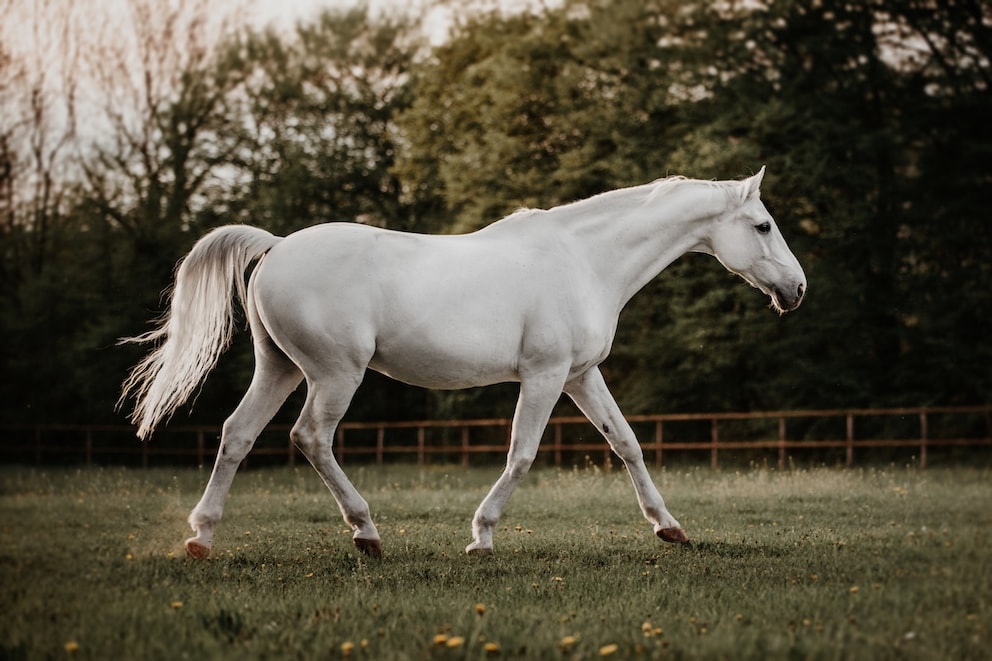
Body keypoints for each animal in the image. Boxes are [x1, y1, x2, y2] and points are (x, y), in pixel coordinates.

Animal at [120, 167, 806, 559]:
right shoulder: (545, 376)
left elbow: (628, 444)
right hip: (335, 374)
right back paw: (366, 533)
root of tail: (277, 245)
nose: (797, 290)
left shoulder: (581, 375)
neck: (584, 260)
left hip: (280, 369)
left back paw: (202, 537)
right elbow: (522, 455)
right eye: (763, 225)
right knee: (310, 437)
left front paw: (669, 529)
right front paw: (482, 536)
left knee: (237, 435)